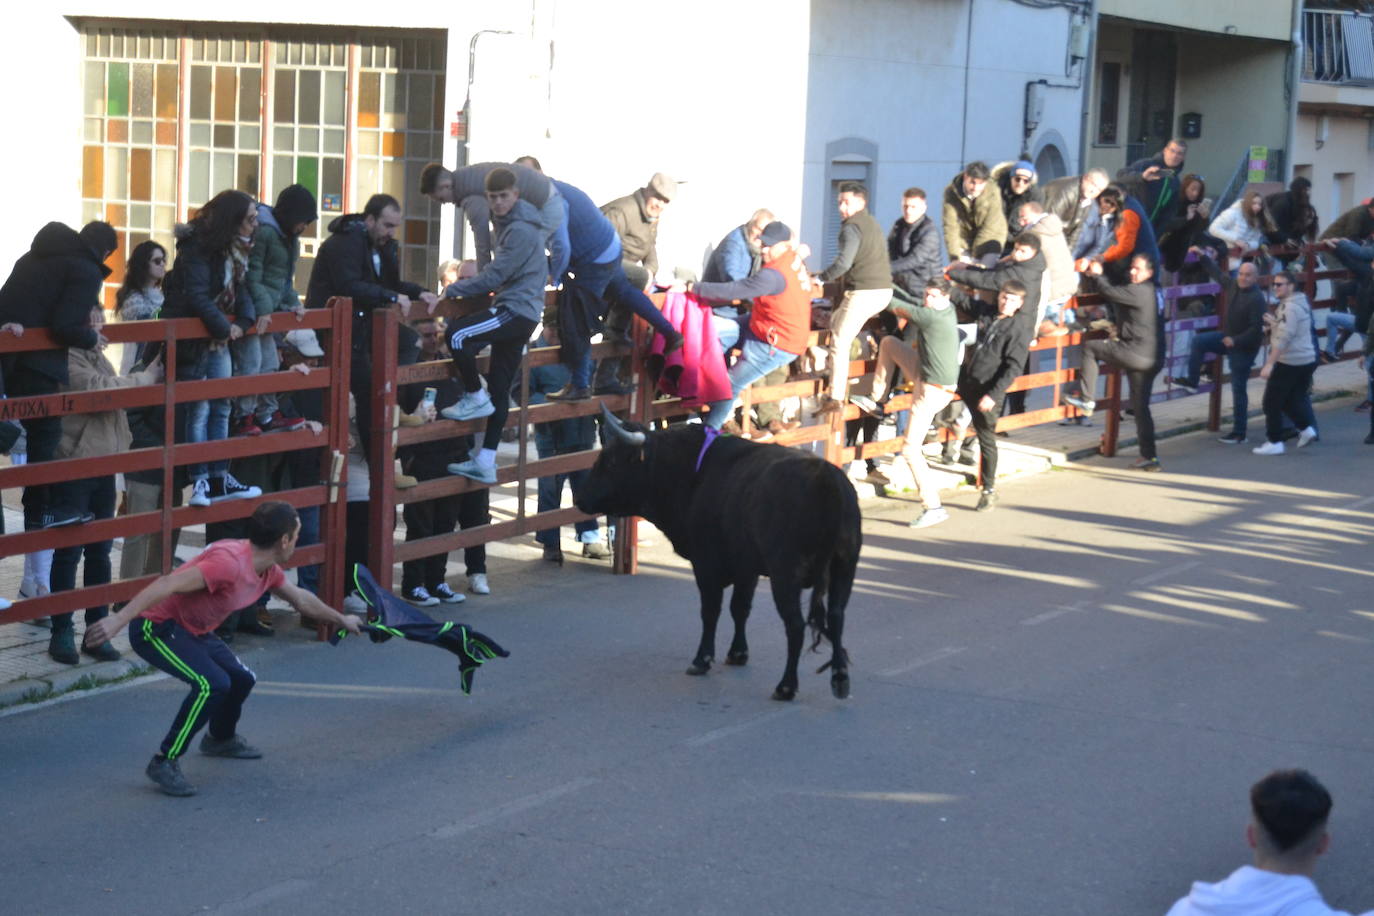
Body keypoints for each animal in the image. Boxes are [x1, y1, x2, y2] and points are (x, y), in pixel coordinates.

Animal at [577, 409, 857, 703]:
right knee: (836, 617)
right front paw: (738, 653)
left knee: (795, 625)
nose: (579, 498)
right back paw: (839, 678)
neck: (691, 474)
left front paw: (702, 660)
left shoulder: (706, 565)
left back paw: (786, 686)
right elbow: (740, 608)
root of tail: (825, 477)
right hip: (844, 567)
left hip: (785, 575)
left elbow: (710, 612)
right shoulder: (747, 568)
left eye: (610, 461)